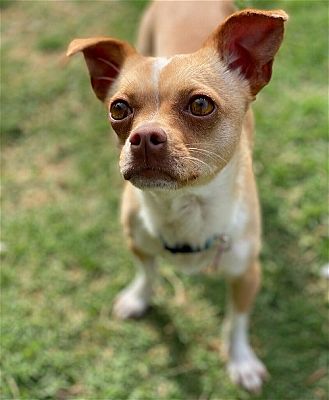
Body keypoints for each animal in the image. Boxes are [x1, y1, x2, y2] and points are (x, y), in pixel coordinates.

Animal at [67, 0, 288, 394]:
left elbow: (237, 322)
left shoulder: (247, 274)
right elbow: (148, 272)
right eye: (118, 109)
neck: (183, 207)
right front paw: (138, 298)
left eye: (200, 105)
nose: (143, 137)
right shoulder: (137, 242)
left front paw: (241, 361)